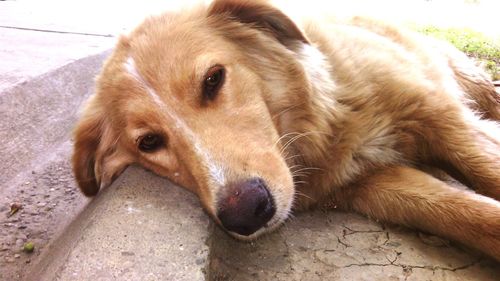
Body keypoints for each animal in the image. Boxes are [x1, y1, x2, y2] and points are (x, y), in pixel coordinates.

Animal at [71, 0, 500, 260]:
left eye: (213, 80)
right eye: (149, 142)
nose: (246, 213)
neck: (325, 122)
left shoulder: (443, 118)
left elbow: (484, 167)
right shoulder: (375, 186)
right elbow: (468, 216)